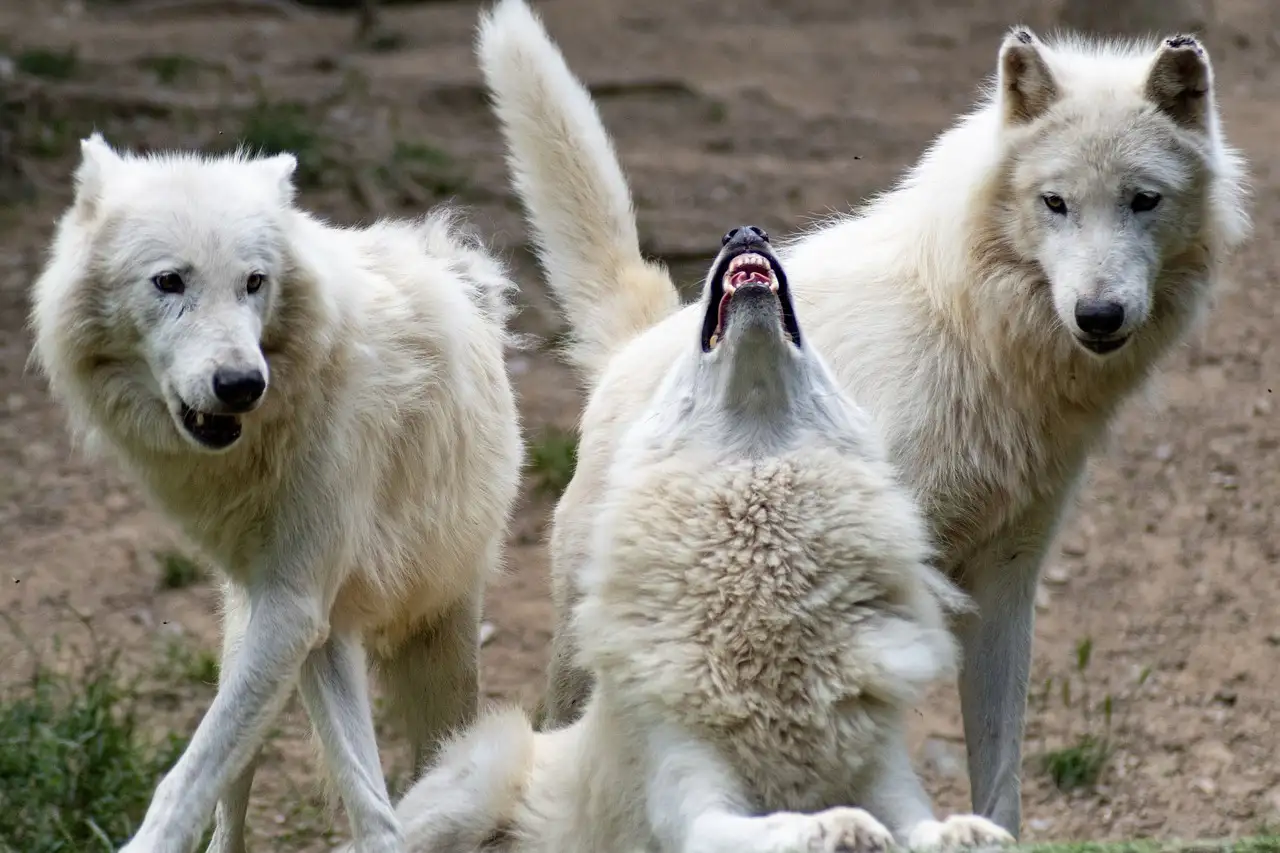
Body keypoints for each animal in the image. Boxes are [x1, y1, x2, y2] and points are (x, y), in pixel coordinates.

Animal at [28, 135, 524, 853]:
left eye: (254, 281)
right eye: (169, 281)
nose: (240, 384)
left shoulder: (295, 604)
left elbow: (188, 782)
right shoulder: (299, 612)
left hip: (435, 641)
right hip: (268, 632)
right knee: (243, 800)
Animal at [375, 224, 1014, 853]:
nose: (745, 231)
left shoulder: (889, 778)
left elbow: (925, 824)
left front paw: (967, 832)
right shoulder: (692, 801)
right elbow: (772, 826)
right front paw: (836, 826)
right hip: (483, 777)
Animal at [477, 0, 1251, 837]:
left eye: (1144, 199)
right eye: (1056, 202)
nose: (1100, 315)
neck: (973, 337)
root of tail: (641, 340)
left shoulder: (1007, 578)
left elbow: (1000, 776)